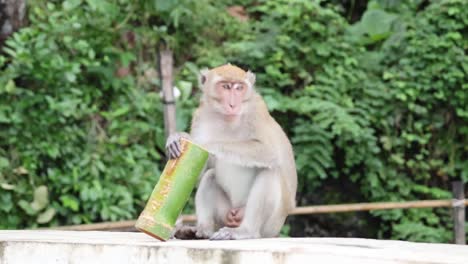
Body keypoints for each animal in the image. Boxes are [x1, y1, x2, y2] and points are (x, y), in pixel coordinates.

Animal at [165, 63, 296, 239]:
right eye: (226, 87)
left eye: (239, 88)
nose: (233, 105)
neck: (227, 119)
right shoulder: (200, 116)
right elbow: (197, 172)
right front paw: (178, 137)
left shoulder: (257, 110)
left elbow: (270, 151)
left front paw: (202, 143)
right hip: (225, 214)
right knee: (210, 176)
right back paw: (202, 230)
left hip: (270, 225)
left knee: (270, 172)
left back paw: (246, 231)